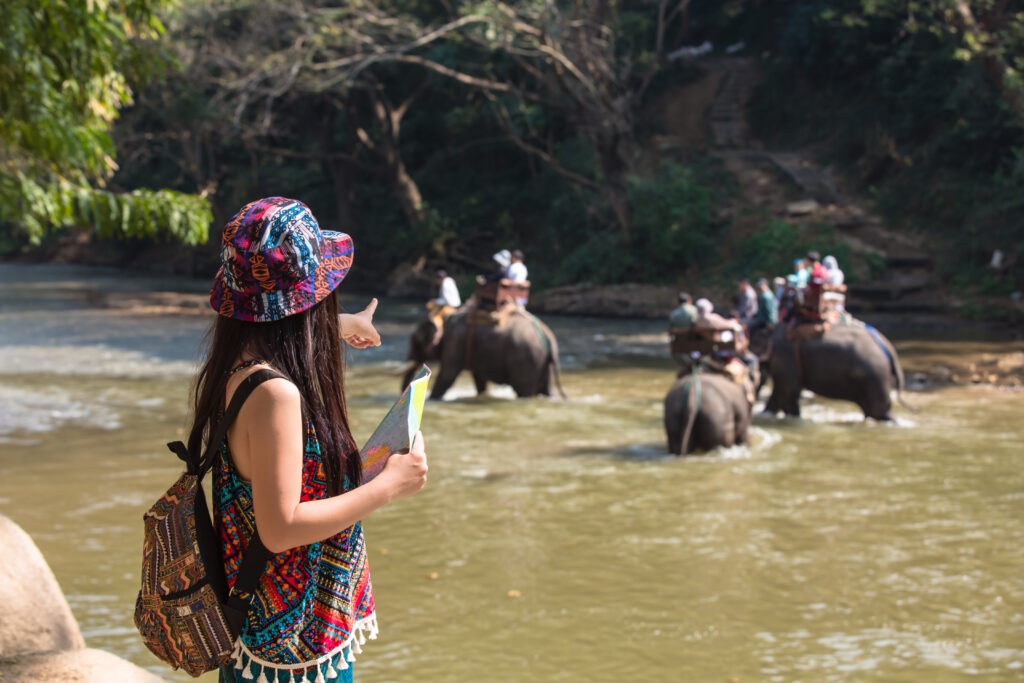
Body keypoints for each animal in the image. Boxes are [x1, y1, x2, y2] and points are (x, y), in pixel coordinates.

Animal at [399, 309, 565, 401]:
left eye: (415, 341)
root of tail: (548, 336)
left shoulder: (455, 342)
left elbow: (447, 375)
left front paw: (432, 399)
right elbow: (480, 381)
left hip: (527, 359)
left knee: (524, 391)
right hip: (542, 363)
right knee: (545, 390)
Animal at [765, 321, 917, 421]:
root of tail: (889, 349)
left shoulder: (785, 356)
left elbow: (788, 390)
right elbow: (785, 393)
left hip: (875, 374)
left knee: (878, 410)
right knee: (873, 410)